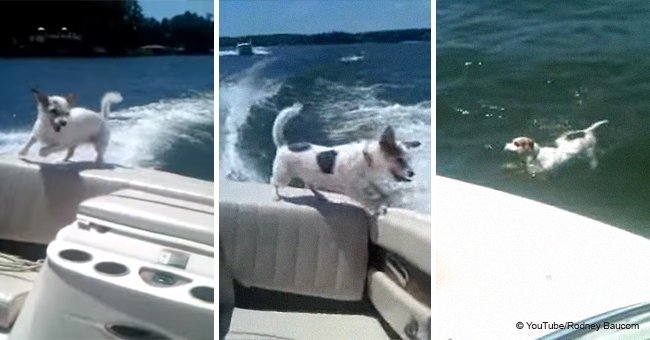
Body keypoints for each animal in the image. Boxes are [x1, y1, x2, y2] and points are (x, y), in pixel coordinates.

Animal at [268, 103, 420, 214]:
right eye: (399, 159)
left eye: (408, 159)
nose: (412, 173)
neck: (366, 159)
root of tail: (284, 146)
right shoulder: (353, 189)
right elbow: (366, 199)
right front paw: (377, 207)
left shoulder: (369, 180)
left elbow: (379, 189)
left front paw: (385, 197)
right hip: (283, 176)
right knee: (273, 182)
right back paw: (276, 195)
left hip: (311, 176)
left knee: (309, 184)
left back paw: (319, 195)